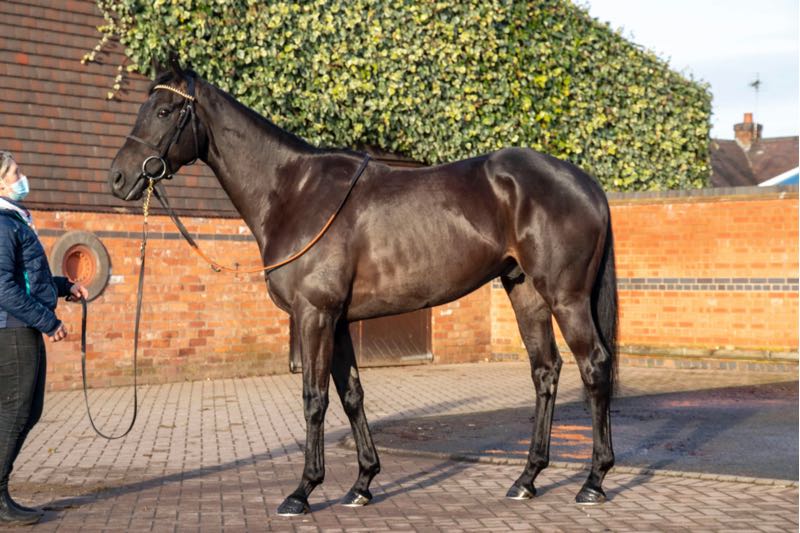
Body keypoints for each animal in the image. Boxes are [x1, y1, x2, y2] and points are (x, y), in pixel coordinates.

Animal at [108, 57, 618, 516]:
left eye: (164, 111)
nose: (118, 177)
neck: (294, 192)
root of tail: (586, 183)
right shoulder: (337, 322)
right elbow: (351, 395)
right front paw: (362, 484)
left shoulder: (315, 315)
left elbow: (314, 398)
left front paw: (303, 491)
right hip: (525, 292)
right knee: (545, 371)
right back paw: (527, 479)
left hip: (566, 298)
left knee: (593, 366)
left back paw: (593, 482)